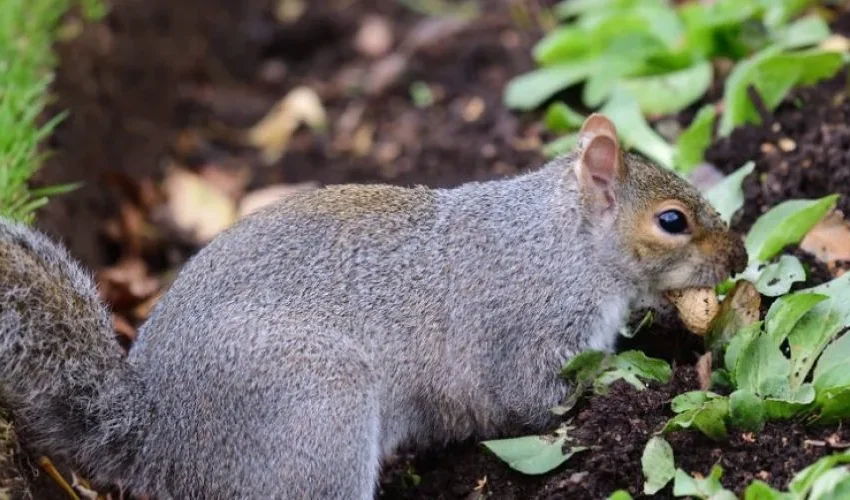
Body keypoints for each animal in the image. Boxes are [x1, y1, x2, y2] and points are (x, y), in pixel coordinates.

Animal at [0, 114, 746, 499]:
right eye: (672, 221)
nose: (739, 257)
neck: (563, 243)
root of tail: (162, 437)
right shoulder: (526, 330)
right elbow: (539, 400)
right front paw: (626, 382)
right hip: (316, 408)